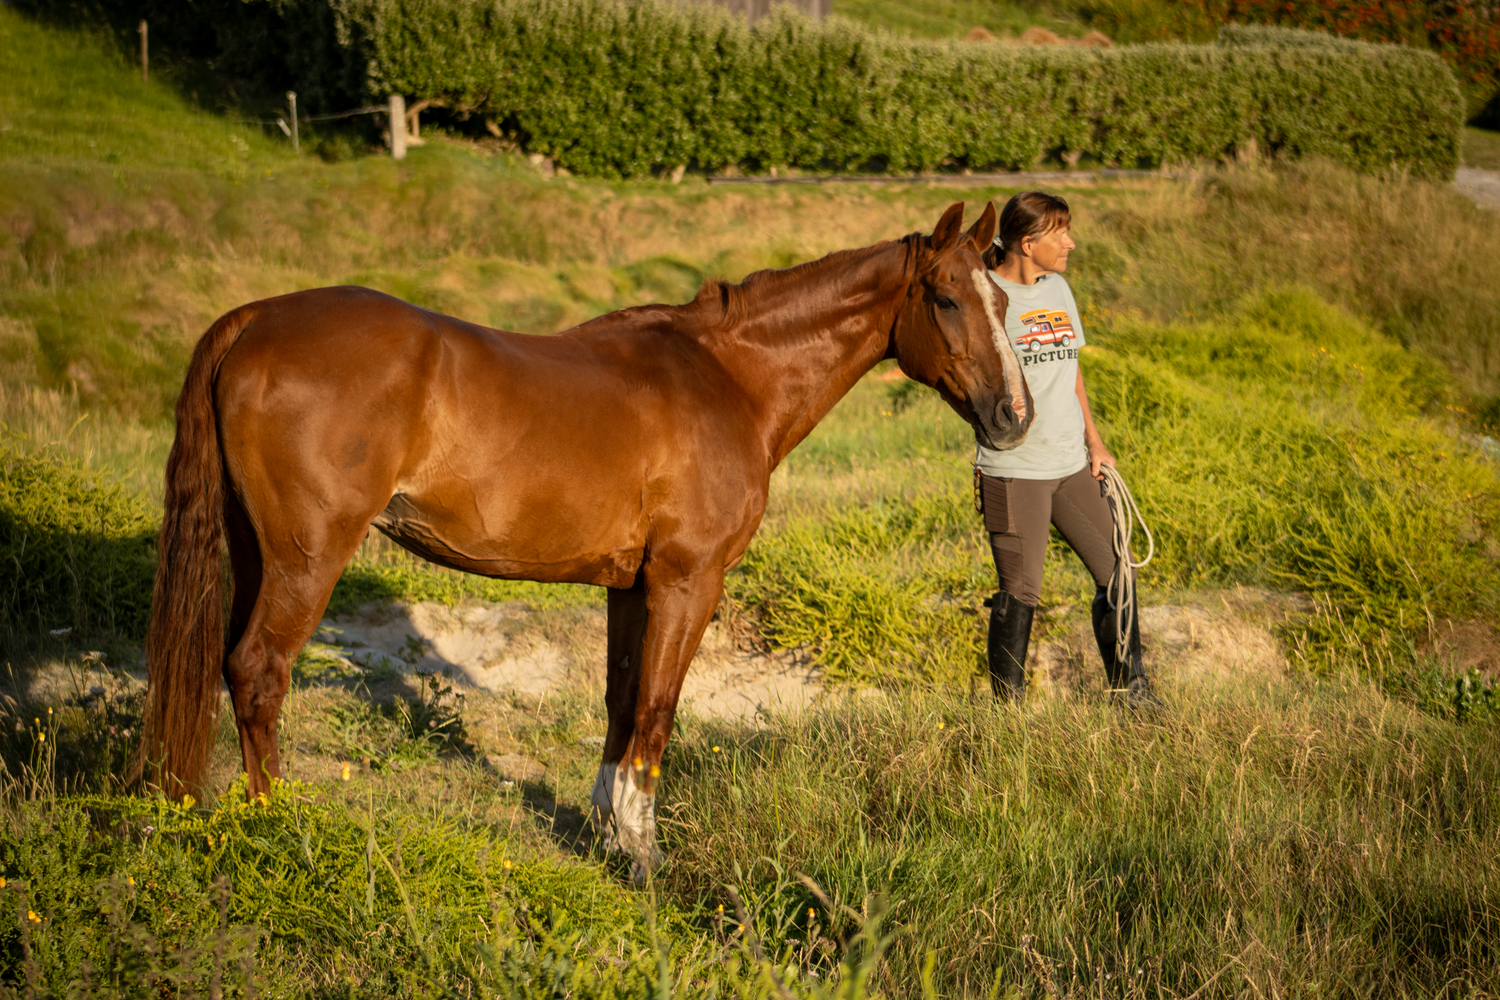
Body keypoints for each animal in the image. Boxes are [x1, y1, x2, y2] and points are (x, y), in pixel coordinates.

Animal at [139, 201, 1032, 880]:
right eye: (946, 299)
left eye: (1006, 303)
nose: (1014, 416)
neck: (727, 379)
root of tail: (255, 319)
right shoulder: (687, 581)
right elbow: (660, 707)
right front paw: (644, 854)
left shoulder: (629, 584)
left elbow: (620, 698)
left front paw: (608, 830)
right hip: (308, 556)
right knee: (259, 671)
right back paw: (277, 824)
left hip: (255, 551)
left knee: (226, 665)